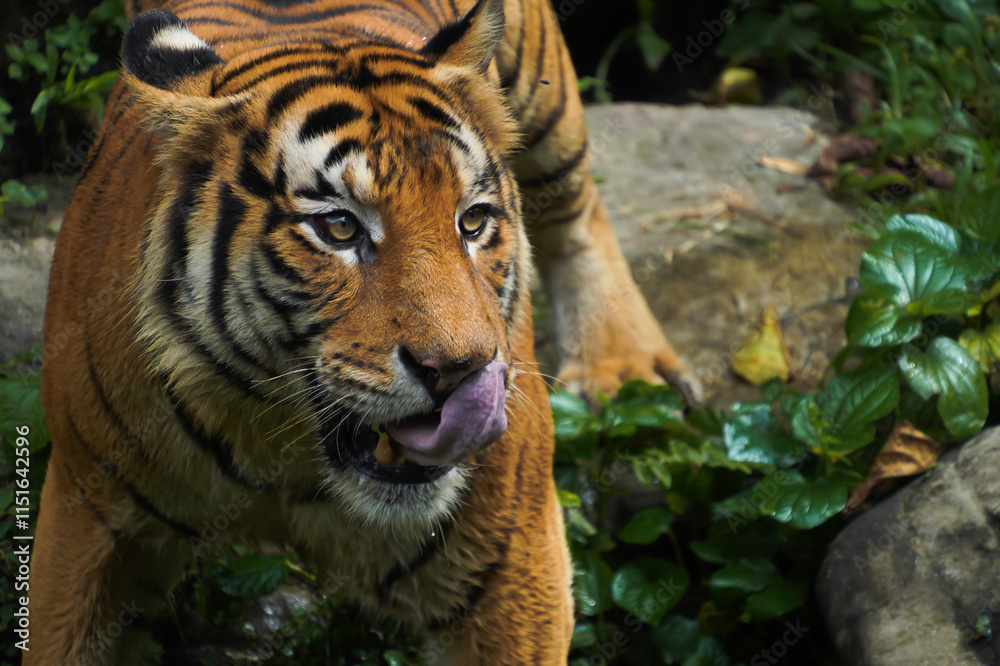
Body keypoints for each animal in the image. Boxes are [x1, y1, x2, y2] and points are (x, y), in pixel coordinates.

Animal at [28, 0, 700, 663]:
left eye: (473, 222)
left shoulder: (512, 554)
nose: (458, 370)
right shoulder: (85, 515)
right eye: (340, 228)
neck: (290, 457)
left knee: (576, 204)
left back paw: (635, 376)